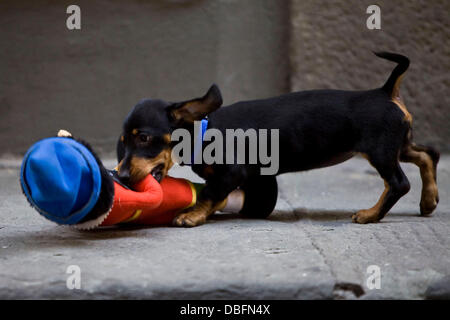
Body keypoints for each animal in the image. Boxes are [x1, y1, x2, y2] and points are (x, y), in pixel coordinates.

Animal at [116, 52, 440, 226]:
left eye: (143, 138)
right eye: (123, 142)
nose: (120, 176)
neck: (204, 130)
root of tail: (385, 91)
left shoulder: (231, 172)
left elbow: (210, 192)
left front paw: (192, 215)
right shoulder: (257, 180)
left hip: (380, 150)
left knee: (399, 183)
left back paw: (370, 215)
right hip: (397, 145)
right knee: (428, 154)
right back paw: (429, 200)